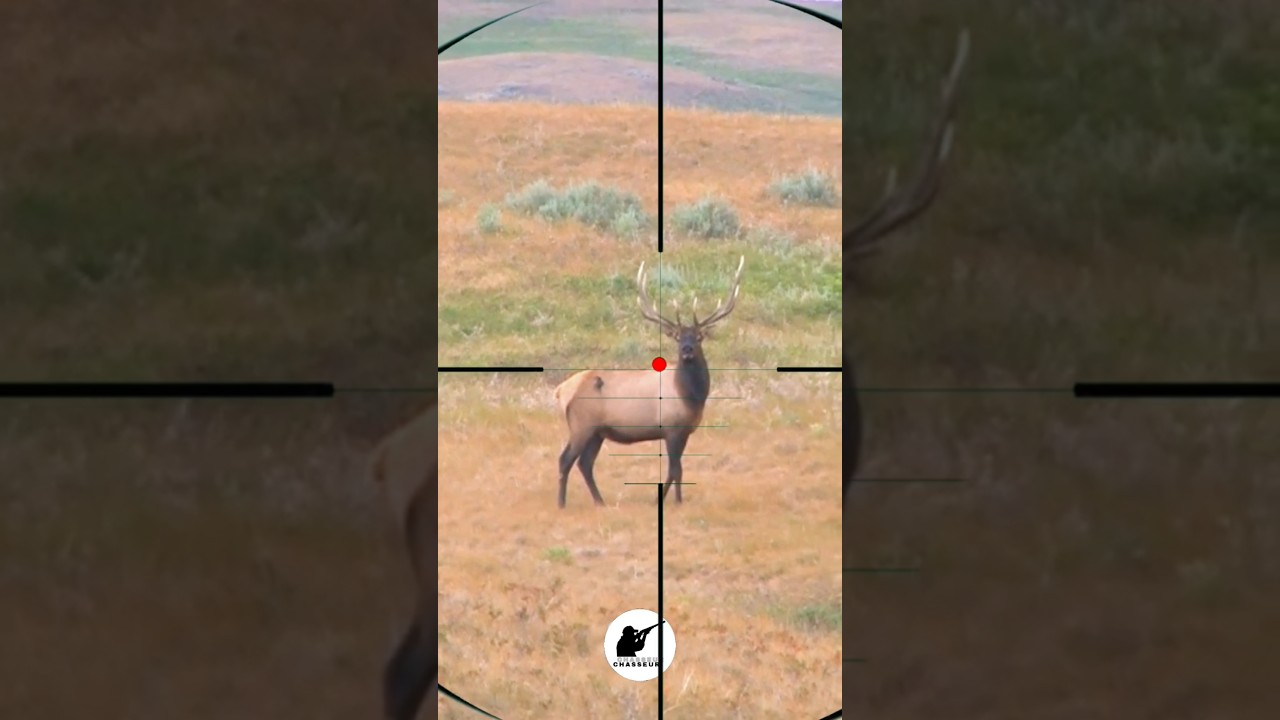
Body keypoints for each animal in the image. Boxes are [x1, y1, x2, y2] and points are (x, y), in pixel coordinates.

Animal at [554, 255, 745, 508]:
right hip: (581, 425)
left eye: (698, 337)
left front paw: (666, 499)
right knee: (565, 459)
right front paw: (672, 501)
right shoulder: (672, 429)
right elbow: (676, 469)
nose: (686, 350)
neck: (691, 397)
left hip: (597, 432)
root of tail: (561, 391)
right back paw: (562, 503)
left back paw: (600, 501)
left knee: (584, 463)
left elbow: (675, 470)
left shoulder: (684, 432)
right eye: (677, 337)